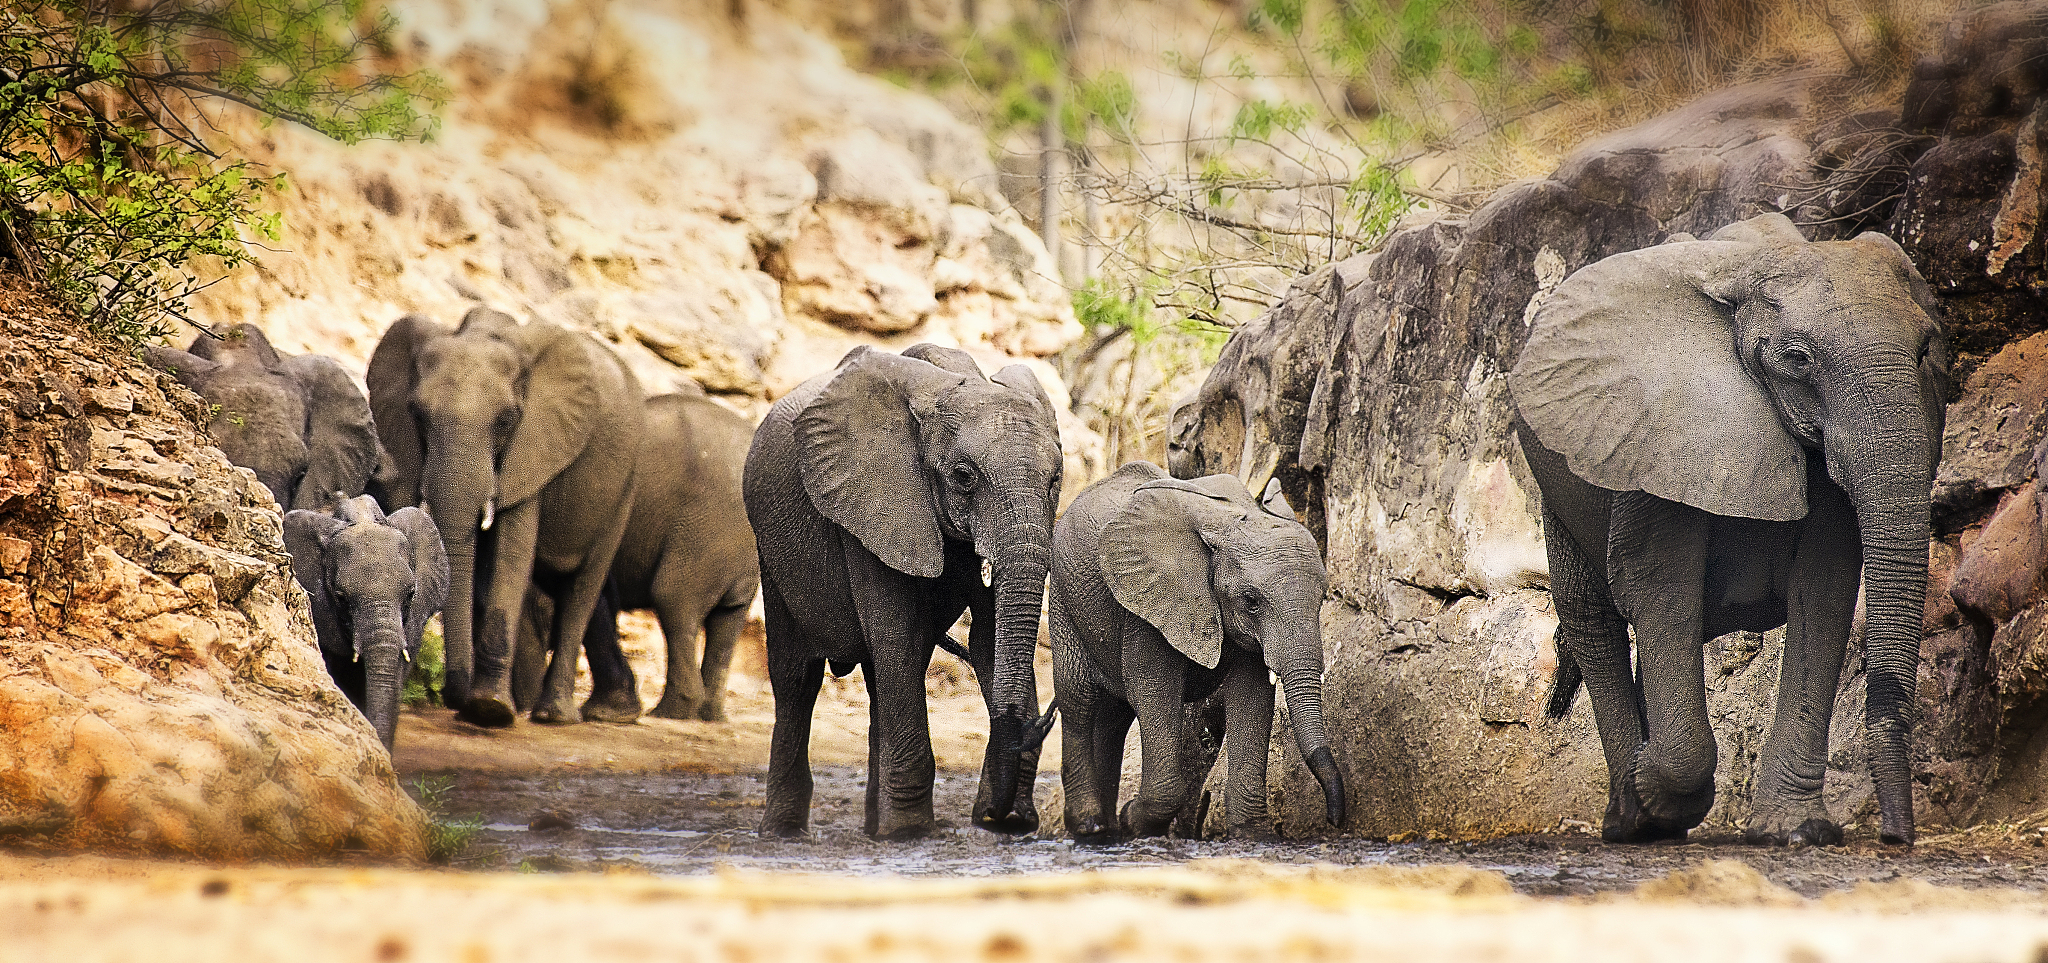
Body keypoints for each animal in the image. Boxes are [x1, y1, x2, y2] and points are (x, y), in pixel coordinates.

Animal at [367, 307, 645, 728]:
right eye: (418, 415)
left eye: (505, 420)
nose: (452, 695)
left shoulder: (536, 444)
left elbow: (512, 552)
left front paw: (490, 709)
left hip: (625, 483)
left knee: (584, 586)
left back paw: (554, 715)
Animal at [744, 343, 1062, 839]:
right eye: (963, 476)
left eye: (1054, 480)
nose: (997, 818)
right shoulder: (867, 511)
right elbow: (901, 639)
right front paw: (912, 833)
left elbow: (989, 640)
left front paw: (1003, 818)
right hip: (770, 551)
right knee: (797, 679)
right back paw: (784, 832)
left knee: (878, 681)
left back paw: (875, 828)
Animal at [1049, 461, 1343, 842]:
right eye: (1251, 600)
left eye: (1322, 598)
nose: (1336, 819)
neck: (1225, 524)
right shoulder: (1146, 605)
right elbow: (1154, 693)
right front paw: (1135, 821)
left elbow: (1251, 699)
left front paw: (1253, 835)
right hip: (1063, 596)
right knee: (1078, 699)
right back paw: (1090, 826)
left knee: (1113, 716)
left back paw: (1109, 830)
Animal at [1509, 212, 1951, 847]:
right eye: (1797, 359)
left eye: (1924, 351)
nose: (1896, 837)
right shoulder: (1661, 439)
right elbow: (1659, 592)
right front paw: (1657, 791)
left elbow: (1825, 592)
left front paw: (1796, 832)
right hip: (1557, 474)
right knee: (1594, 621)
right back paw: (1630, 821)